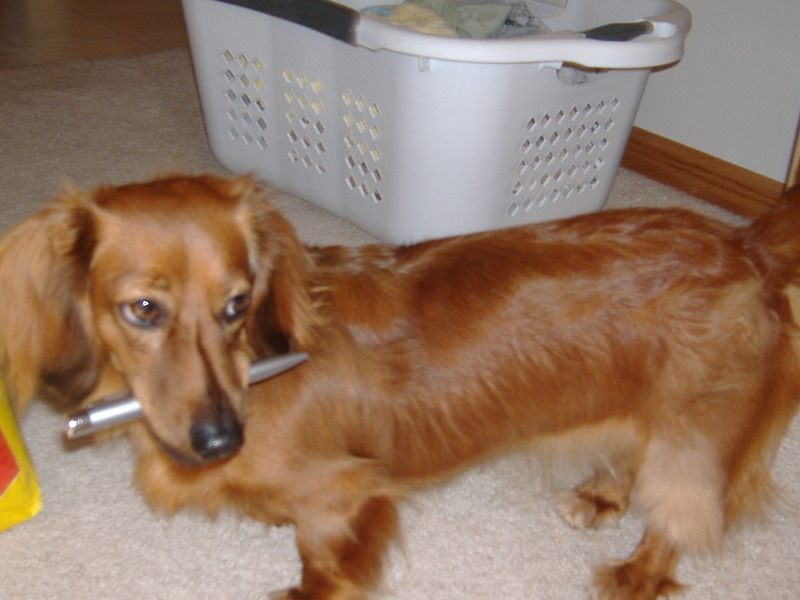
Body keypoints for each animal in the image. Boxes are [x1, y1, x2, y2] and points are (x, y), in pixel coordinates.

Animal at [1, 171, 800, 596]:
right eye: (143, 309)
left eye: (237, 303)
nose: (222, 440)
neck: (255, 371)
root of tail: (744, 243)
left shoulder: (342, 500)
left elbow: (323, 563)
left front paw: (304, 588)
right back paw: (603, 494)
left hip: (698, 437)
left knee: (675, 518)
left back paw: (635, 574)